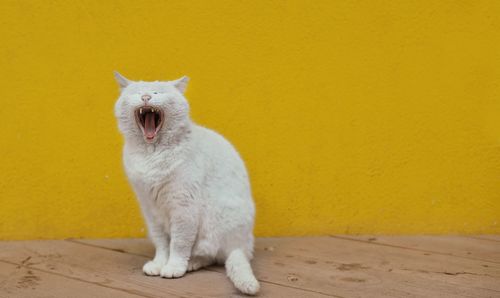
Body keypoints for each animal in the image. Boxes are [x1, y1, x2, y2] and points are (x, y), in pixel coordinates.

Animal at [113, 71, 260, 294]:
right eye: (138, 93)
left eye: (157, 92)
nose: (146, 97)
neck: (151, 153)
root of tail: (241, 246)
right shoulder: (150, 209)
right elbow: (162, 244)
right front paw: (158, 264)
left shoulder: (183, 207)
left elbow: (179, 244)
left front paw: (173, 268)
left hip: (213, 222)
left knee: (211, 255)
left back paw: (191, 263)